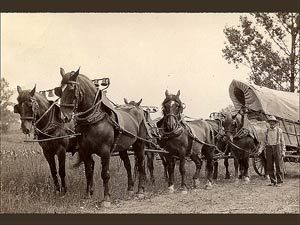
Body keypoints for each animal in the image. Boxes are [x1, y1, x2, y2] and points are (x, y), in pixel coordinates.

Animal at [56, 67, 148, 207]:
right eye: (59, 91)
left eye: (72, 89)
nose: (63, 117)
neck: (93, 120)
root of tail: (138, 109)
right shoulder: (85, 151)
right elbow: (88, 173)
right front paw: (87, 196)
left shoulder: (105, 151)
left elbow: (105, 174)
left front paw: (106, 198)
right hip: (123, 148)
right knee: (127, 165)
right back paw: (130, 189)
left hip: (139, 144)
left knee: (141, 164)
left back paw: (140, 191)